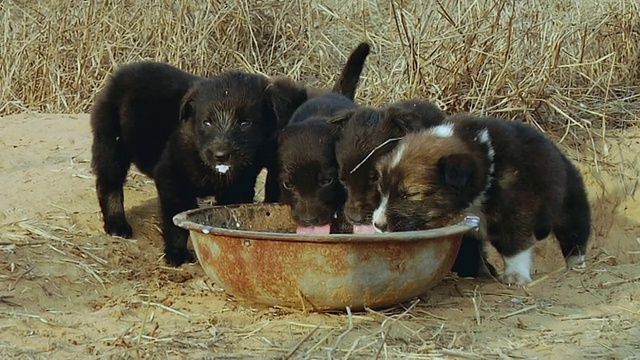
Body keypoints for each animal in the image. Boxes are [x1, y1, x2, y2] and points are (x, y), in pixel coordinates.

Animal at [90, 61, 310, 264]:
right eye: (207, 122)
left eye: (245, 122)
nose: (221, 155)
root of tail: (122, 72)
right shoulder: (171, 176)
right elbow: (175, 219)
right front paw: (177, 254)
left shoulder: (238, 186)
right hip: (111, 143)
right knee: (109, 184)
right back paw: (117, 225)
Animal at [372, 115, 592, 284]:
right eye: (382, 191)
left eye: (408, 195)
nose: (378, 224)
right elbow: (468, 253)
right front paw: (478, 273)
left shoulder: (517, 210)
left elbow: (515, 245)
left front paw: (515, 275)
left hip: (569, 204)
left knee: (575, 234)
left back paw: (576, 265)